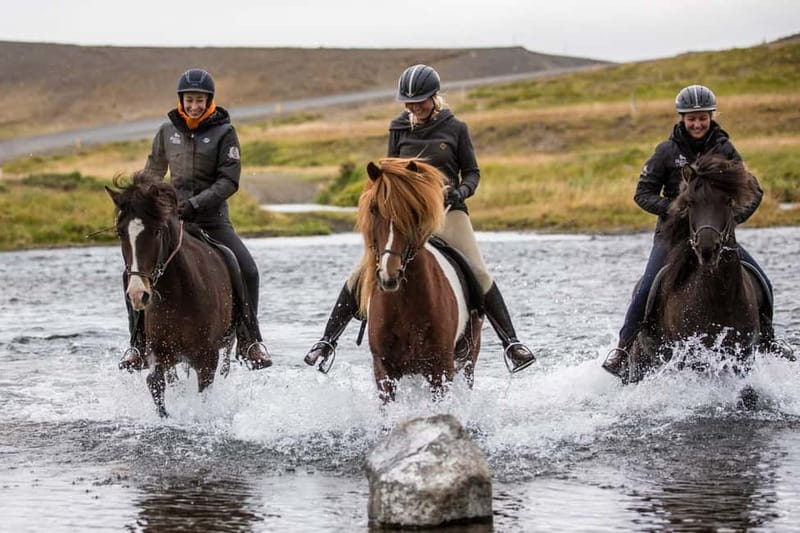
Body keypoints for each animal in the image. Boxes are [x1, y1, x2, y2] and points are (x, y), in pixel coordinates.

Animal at [106, 171, 236, 417]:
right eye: (120, 233)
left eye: (156, 231)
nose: (138, 294)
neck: (179, 294)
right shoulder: (160, 353)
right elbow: (155, 383)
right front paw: (165, 416)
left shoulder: (208, 359)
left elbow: (204, 395)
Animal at [356, 158, 483, 402]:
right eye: (374, 209)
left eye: (412, 211)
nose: (389, 275)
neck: (405, 303)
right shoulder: (384, 368)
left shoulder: (440, 369)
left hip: (469, 357)